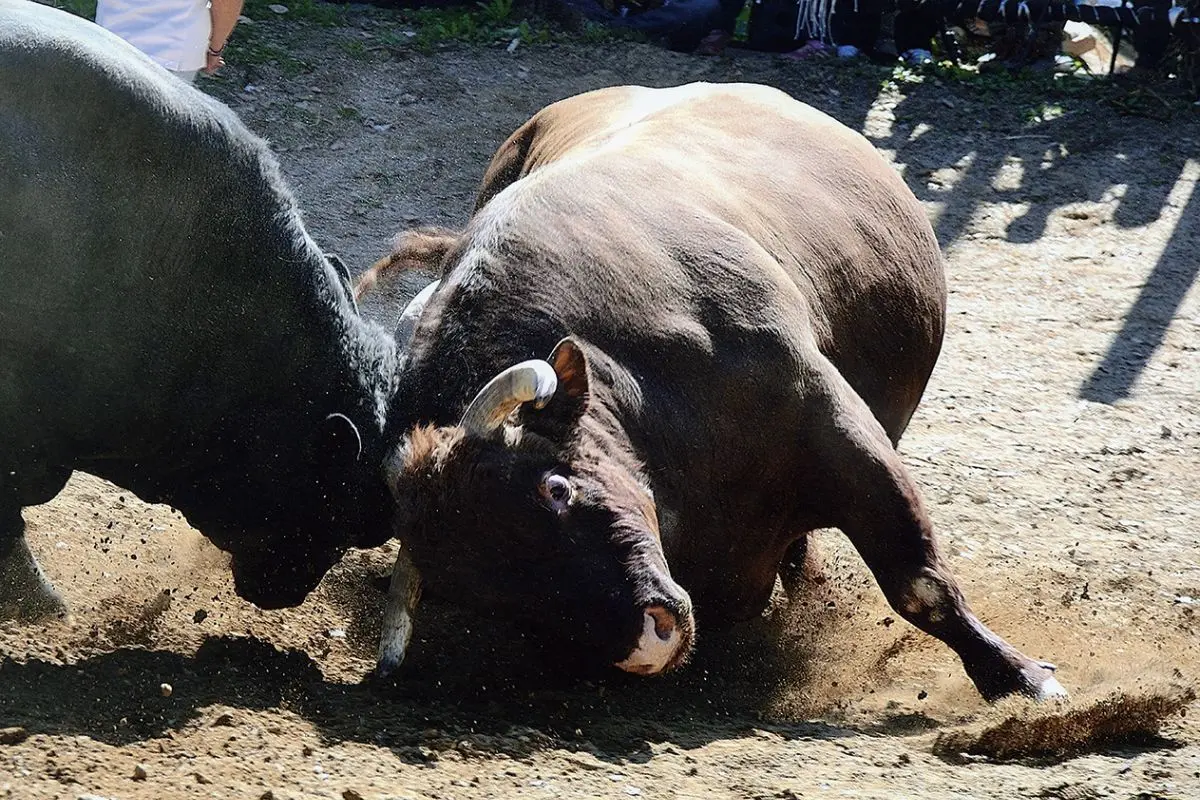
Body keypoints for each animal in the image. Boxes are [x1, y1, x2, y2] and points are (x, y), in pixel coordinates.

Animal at [366, 81, 1066, 702]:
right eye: (488, 592)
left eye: (555, 489)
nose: (646, 643)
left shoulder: (833, 422)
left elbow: (919, 584)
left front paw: (1019, 678)